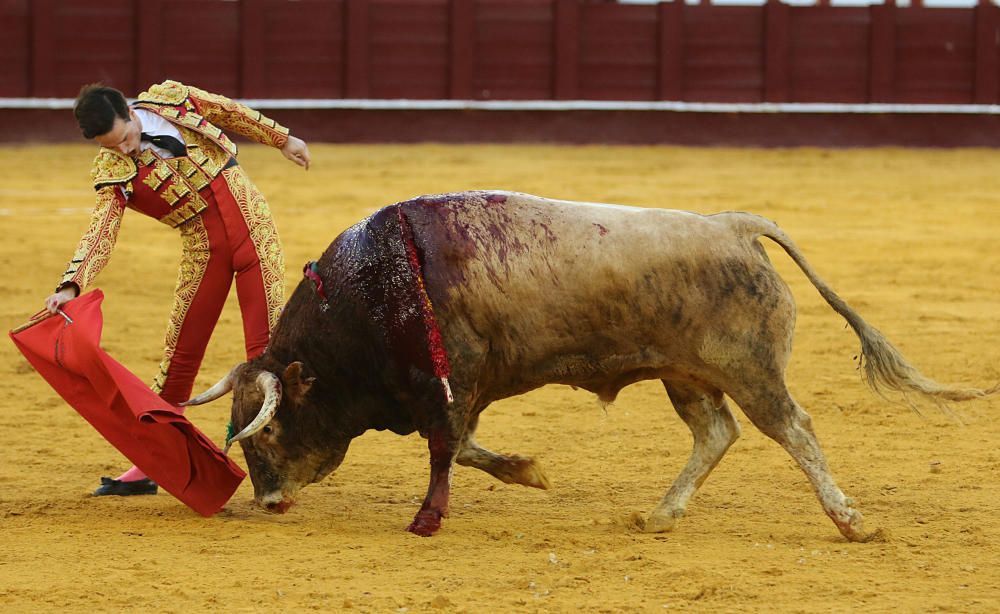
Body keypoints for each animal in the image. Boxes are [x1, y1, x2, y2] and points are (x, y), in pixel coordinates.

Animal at [184, 191, 996, 540]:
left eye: (263, 433)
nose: (267, 500)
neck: (374, 285)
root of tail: (735, 225)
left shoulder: (450, 384)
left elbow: (446, 450)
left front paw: (433, 517)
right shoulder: (463, 390)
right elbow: (464, 446)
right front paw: (529, 471)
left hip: (752, 371)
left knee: (793, 429)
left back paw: (851, 522)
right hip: (685, 375)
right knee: (716, 434)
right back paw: (660, 516)